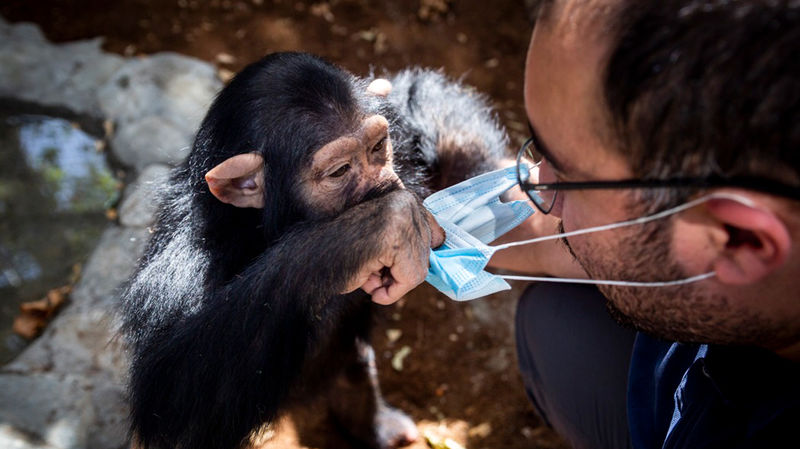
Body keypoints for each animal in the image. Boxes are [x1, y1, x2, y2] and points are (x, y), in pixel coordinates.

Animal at [120, 52, 506, 448]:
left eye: (377, 147)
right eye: (339, 170)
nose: (385, 181)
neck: (261, 226)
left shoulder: (402, 134)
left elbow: (418, 96)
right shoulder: (185, 267)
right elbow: (176, 388)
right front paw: (382, 226)